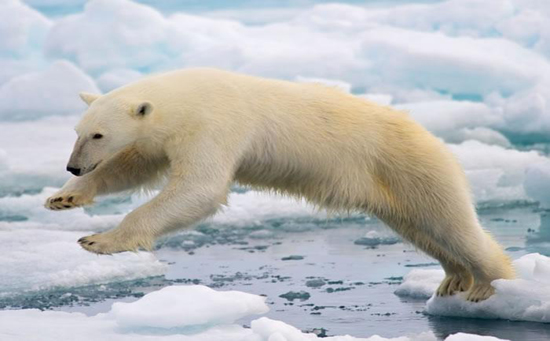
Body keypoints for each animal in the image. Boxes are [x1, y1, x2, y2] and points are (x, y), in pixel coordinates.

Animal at [45, 67, 516, 300]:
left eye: (98, 134)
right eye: (77, 131)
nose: (73, 167)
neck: (186, 97)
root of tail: (433, 139)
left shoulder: (215, 124)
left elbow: (199, 188)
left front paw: (99, 240)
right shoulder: (164, 137)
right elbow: (136, 166)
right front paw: (63, 198)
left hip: (411, 166)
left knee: (452, 224)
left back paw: (487, 285)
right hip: (392, 187)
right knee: (422, 229)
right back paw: (453, 278)